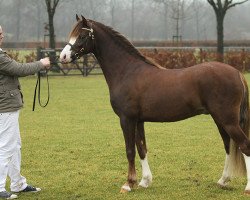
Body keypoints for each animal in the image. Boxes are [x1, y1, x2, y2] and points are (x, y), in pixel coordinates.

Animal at [59, 15, 250, 194]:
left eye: (82, 35)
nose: (63, 57)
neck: (127, 71)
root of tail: (237, 73)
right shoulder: (138, 120)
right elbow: (142, 149)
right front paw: (144, 181)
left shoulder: (126, 119)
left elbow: (130, 150)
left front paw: (128, 184)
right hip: (220, 120)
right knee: (228, 146)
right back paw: (223, 181)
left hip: (227, 120)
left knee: (244, 145)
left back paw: (246, 187)